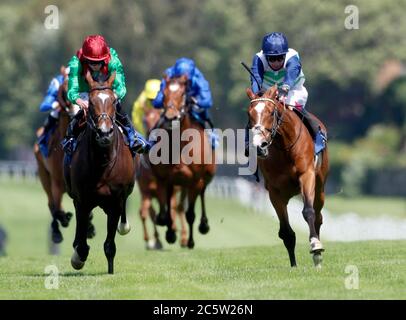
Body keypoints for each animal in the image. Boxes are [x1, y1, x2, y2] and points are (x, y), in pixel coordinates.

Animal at [63, 71, 135, 274]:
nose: (104, 133)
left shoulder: (115, 202)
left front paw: (110, 270)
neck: (102, 162)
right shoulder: (82, 200)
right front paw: (77, 258)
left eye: (113, 101)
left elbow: (110, 244)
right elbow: (81, 243)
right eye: (91, 102)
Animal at [136, 106, 188, 249]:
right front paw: (152, 240)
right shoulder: (146, 192)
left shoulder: (165, 191)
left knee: (179, 208)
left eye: (157, 118)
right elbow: (145, 213)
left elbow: (170, 210)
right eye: (144, 121)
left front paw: (173, 231)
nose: (152, 135)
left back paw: (183, 237)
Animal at [150, 75, 216, 250]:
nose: (170, 117)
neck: (181, 145)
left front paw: (190, 241)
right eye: (164, 94)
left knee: (201, 195)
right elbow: (165, 211)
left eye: (182, 94)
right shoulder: (165, 179)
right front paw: (170, 232)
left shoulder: (195, 181)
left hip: (205, 177)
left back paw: (203, 226)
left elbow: (190, 214)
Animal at [246, 85, 328, 268]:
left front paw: (315, 247)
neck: (285, 147)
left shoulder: (307, 175)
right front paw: (293, 265)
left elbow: (309, 211)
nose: (259, 146)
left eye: (271, 112)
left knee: (318, 217)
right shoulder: (274, 191)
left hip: (320, 187)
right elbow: (286, 232)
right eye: (249, 114)